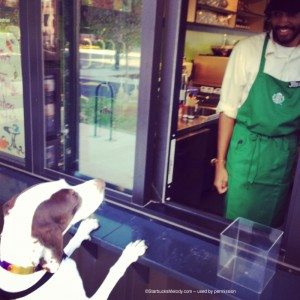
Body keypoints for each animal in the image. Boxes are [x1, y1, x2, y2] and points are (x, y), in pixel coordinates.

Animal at [0, 179, 147, 298]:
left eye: (65, 181)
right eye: (75, 198)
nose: (102, 182)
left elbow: (70, 244)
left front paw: (85, 228)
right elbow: (114, 271)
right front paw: (131, 253)